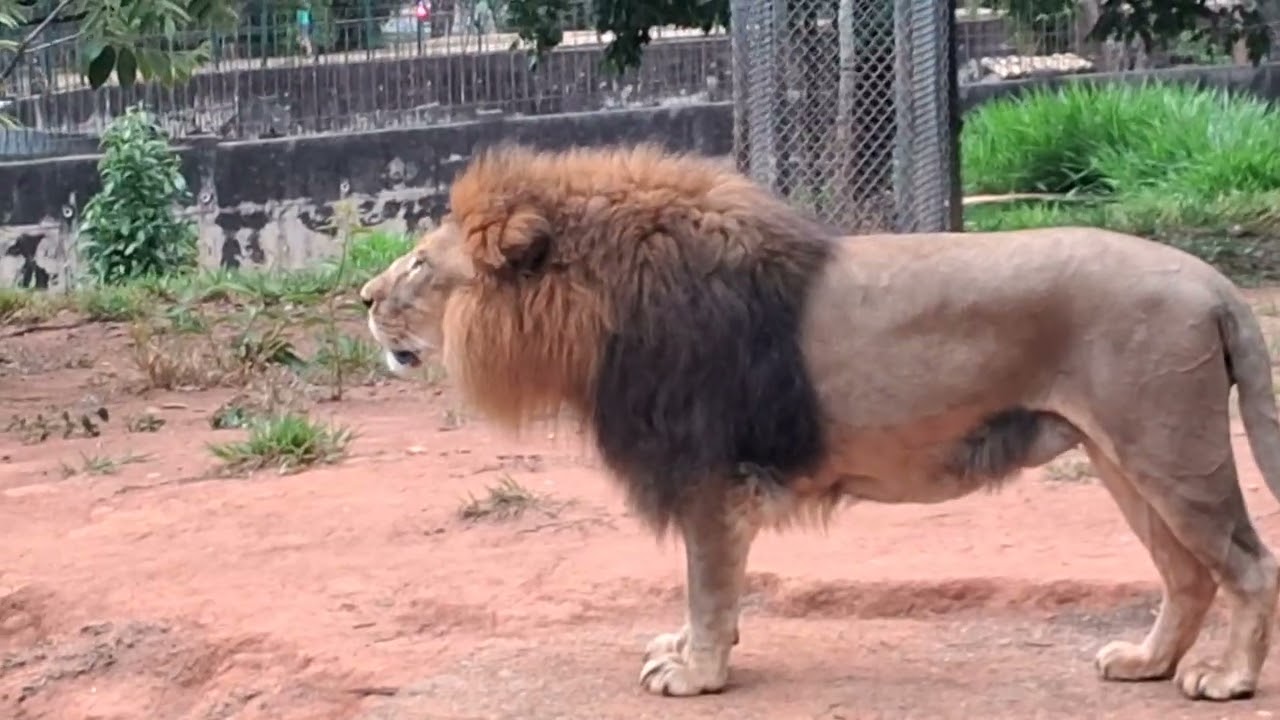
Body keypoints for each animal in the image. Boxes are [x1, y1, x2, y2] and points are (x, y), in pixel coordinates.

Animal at [361, 143, 1280, 702]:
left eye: (420, 265)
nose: (364, 299)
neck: (602, 303)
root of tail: (1212, 281)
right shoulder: (712, 484)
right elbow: (714, 589)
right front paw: (694, 652)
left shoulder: (707, 476)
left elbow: (705, 585)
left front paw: (697, 673)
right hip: (1122, 457)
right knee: (1188, 574)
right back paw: (1146, 663)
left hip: (1170, 450)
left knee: (1248, 564)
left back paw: (1227, 680)